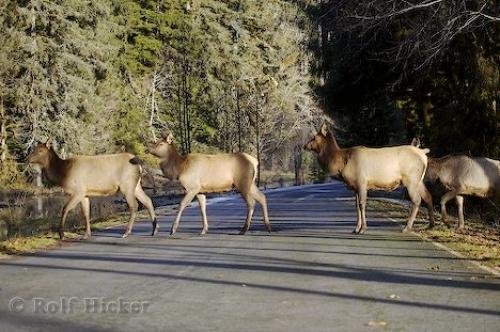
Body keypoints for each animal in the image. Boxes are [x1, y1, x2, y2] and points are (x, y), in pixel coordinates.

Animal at [27, 141, 156, 240]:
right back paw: (154, 229)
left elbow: (65, 209)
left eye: (40, 151)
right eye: (34, 149)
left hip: (127, 185)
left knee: (134, 205)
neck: (63, 174)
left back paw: (127, 232)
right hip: (136, 186)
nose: (28, 158)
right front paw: (86, 234)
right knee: (148, 200)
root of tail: (139, 164)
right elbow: (86, 213)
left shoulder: (78, 191)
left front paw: (61, 234)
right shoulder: (85, 194)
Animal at [304, 122, 434, 233]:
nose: (305, 146)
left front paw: (363, 229)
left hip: (411, 180)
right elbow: (357, 206)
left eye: (314, 137)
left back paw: (407, 228)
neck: (340, 164)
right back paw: (431, 225)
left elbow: (362, 204)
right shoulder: (355, 187)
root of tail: (423, 154)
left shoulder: (362, 182)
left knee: (417, 200)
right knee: (428, 196)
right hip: (419, 181)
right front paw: (356, 229)